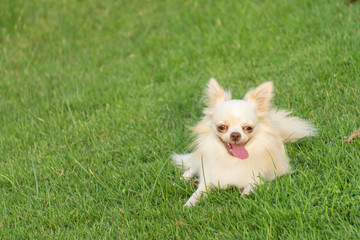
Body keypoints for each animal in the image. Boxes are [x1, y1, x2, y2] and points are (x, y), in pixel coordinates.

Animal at [173, 78, 316, 206]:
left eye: (248, 128)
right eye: (221, 127)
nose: (235, 134)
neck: (232, 160)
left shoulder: (260, 176)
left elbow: (251, 185)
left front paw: (245, 196)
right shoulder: (208, 179)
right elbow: (197, 193)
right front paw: (188, 205)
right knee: (193, 166)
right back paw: (180, 180)